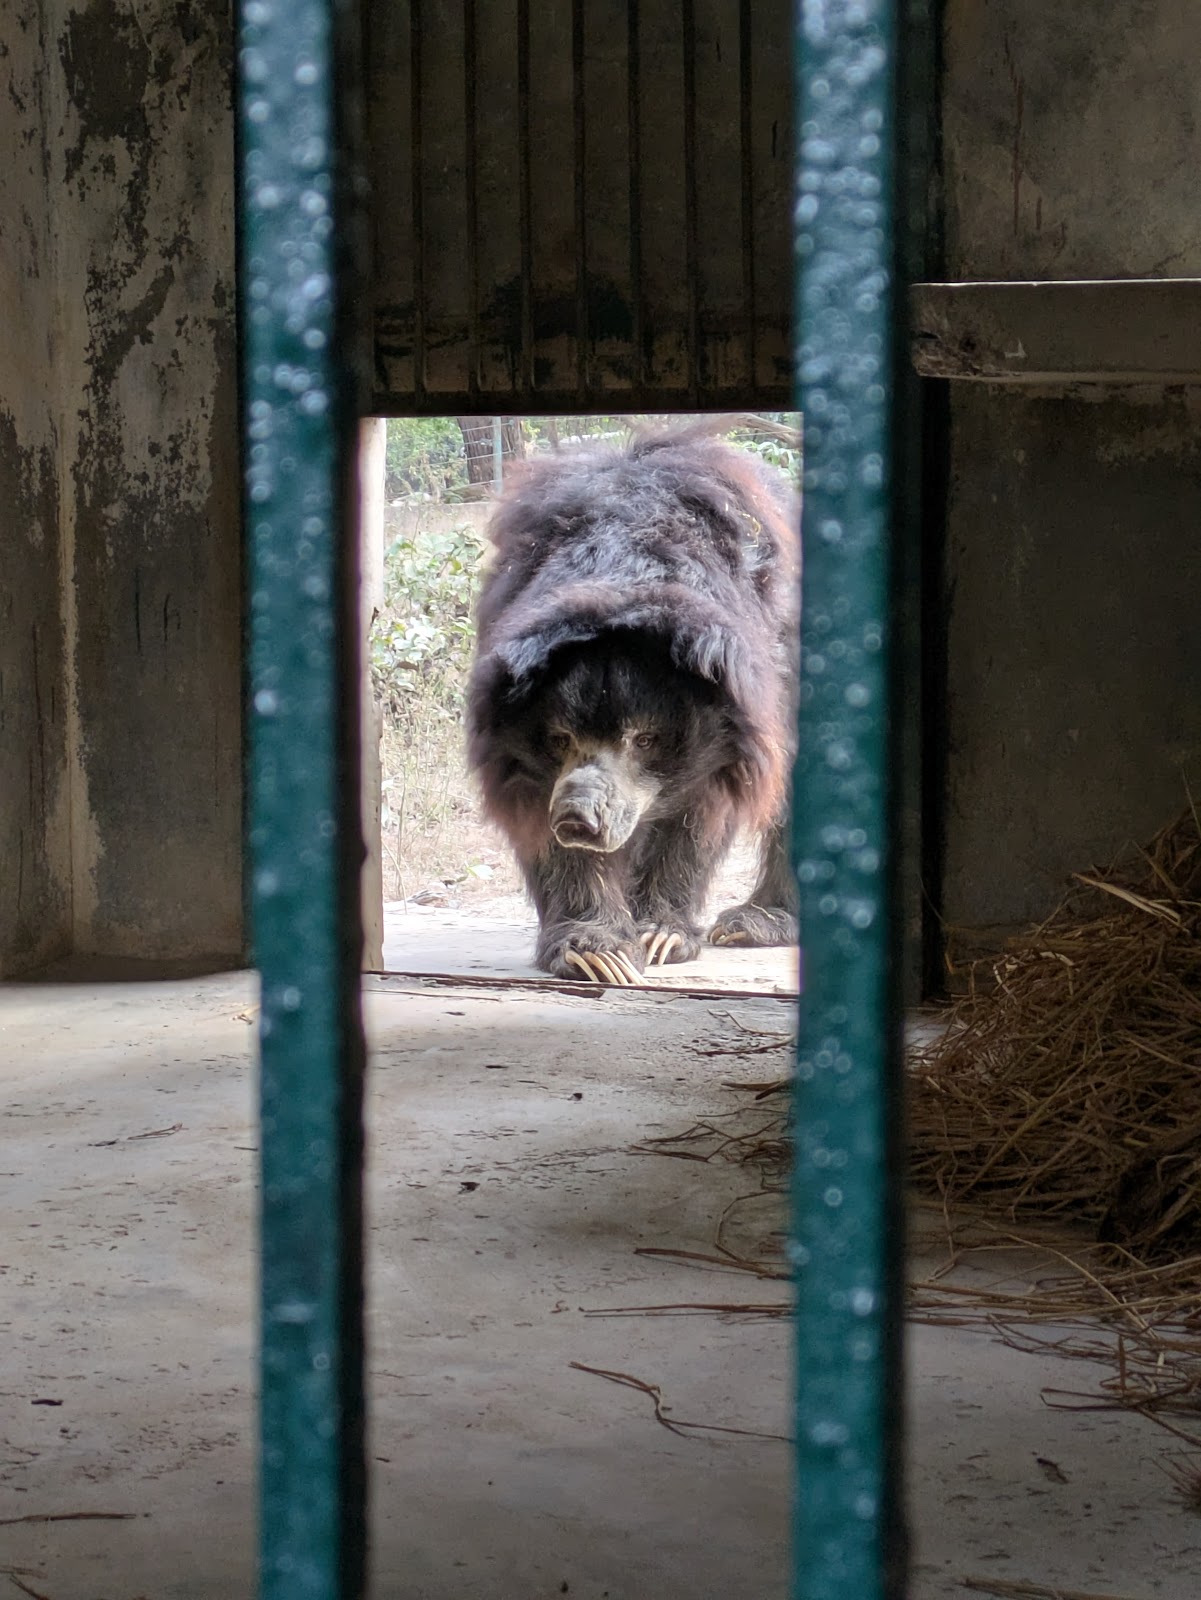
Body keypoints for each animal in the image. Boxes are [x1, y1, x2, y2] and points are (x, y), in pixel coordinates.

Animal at [466, 425, 799, 985]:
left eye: (643, 738)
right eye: (559, 738)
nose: (579, 818)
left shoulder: (738, 722)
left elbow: (696, 819)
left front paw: (661, 935)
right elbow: (540, 819)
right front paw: (596, 951)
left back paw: (753, 922)